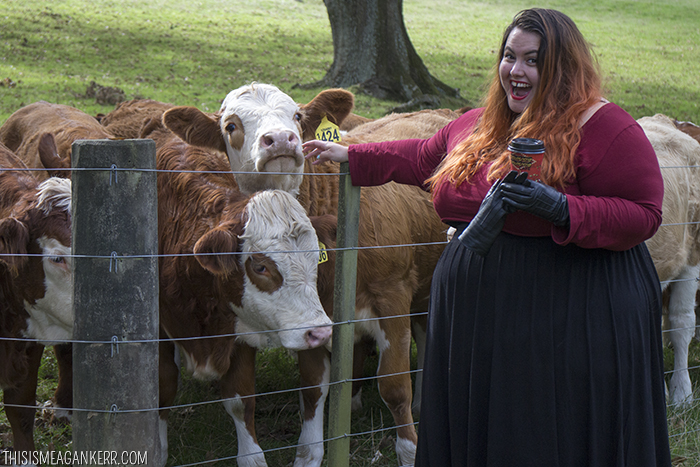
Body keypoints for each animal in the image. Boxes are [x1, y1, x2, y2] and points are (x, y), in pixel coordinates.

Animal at [161, 82, 452, 466]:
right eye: (230, 125)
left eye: (297, 116)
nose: (280, 139)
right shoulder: (311, 319)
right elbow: (313, 388)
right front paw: (308, 455)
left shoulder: (392, 299)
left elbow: (394, 386)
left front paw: (409, 450)